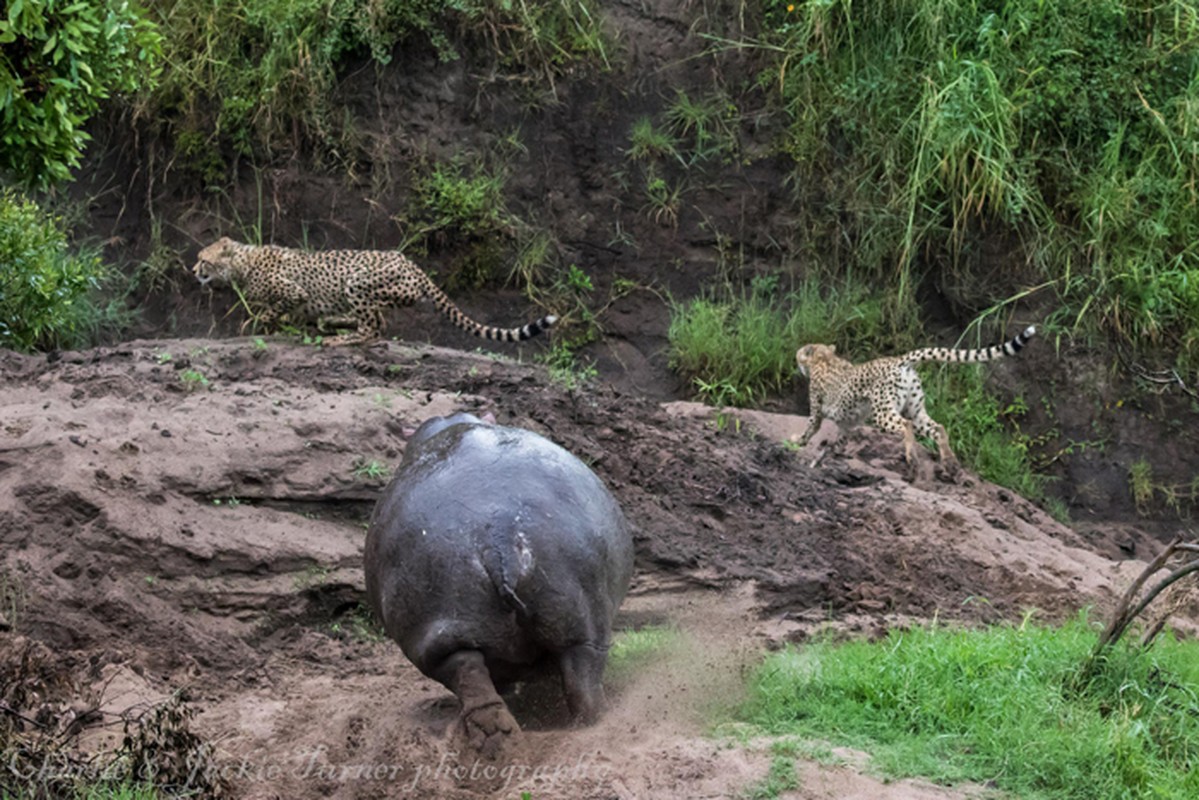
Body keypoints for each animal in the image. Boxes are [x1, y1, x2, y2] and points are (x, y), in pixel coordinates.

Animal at [190, 239, 556, 347]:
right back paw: (337, 325)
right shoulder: (301, 304)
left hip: (358, 281)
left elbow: (272, 309)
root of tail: (410, 262)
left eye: (203, 259)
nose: (193, 271)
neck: (241, 262)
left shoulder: (295, 293)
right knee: (379, 324)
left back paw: (341, 338)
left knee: (371, 329)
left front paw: (256, 324)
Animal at [791, 326, 1035, 472]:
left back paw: (912, 459)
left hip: (883, 412)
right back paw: (950, 462)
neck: (824, 359)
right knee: (939, 428)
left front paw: (797, 442)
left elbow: (811, 428)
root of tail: (900, 360)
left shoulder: (818, 411)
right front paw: (821, 458)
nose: (797, 359)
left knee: (905, 425)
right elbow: (835, 443)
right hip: (915, 410)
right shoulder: (847, 425)